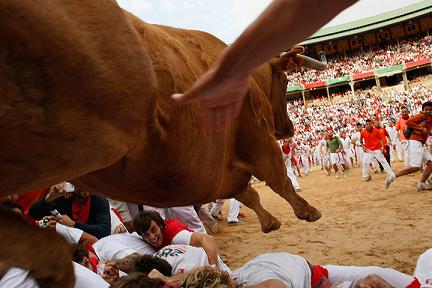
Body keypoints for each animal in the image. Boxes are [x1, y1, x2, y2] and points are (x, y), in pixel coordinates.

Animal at [0, 1, 320, 286]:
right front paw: (306, 211)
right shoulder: (257, 136)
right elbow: (277, 177)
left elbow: (248, 193)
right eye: (284, 79)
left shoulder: (218, 169)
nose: (289, 128)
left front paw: (269, 222)